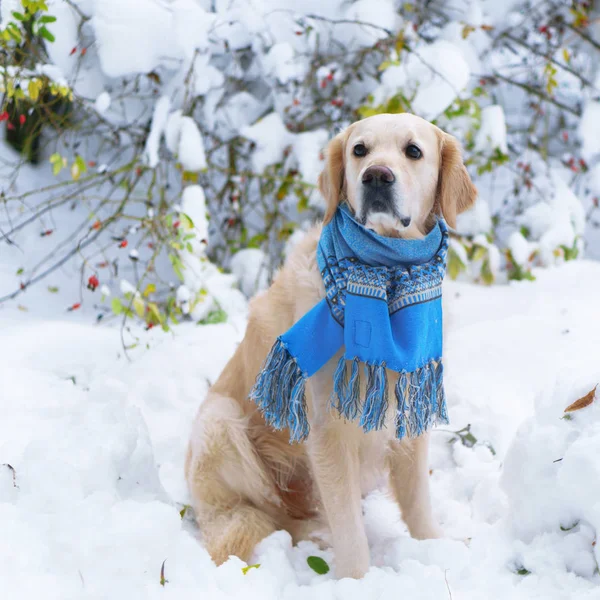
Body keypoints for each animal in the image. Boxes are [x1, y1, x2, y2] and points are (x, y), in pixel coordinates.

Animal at [185, 111, 476, 576]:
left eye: (413, 150)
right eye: (359, 150)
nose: (376, 176)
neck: (384, 273)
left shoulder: (408, 403)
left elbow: (417, 501)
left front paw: (436, 547)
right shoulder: (327, 429)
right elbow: (349, 527)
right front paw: (358, 579)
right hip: (221, 421)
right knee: (270, 512)